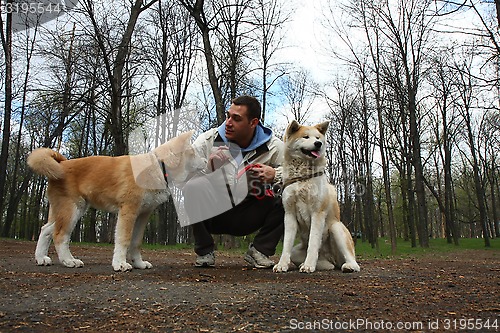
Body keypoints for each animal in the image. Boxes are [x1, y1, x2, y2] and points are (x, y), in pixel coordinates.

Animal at [28, 130, 200, 270]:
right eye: (192, 153)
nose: (204, 161)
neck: (158, 166)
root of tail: (62, 163)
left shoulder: (143, 214)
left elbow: (135, 242)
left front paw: (138, 263)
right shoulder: (128, 211)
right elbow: (124, 240)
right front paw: (120, 263)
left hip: (67, 210)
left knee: (46, 230)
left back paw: (41, 258)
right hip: (71, 210)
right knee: (60, 235)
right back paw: (69, 261)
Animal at [274, 119, 360, 272]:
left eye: (318, 138)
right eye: (306, 137)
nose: (318, 144)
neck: (302, 177)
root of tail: (332, 258)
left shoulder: (317, 213)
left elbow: (313, 242)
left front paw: (308, 265)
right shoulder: (289, 215)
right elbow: (286, 246)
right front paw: (282, 264)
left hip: (336, 228)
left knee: (352, 261)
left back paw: (348, 266)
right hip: (300, 252)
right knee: (329, 265)